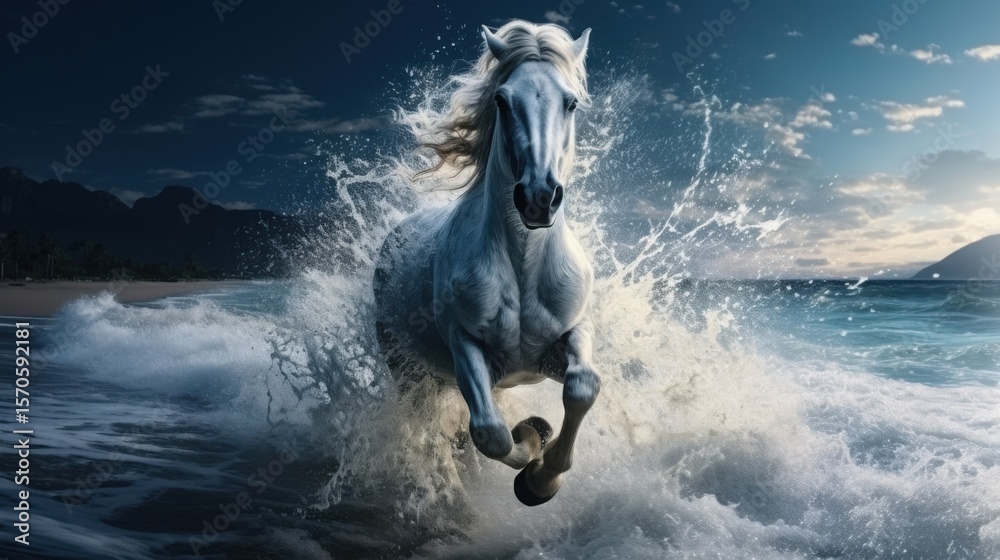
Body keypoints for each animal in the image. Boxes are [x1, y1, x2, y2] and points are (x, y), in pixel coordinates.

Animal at [374, 20, 600, 506]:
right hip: (411, 372)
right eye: (501, 99)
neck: (523, 266)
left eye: (571, 101)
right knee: (437, 428)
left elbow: (582, 387)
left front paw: (544, 474)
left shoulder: (570, 335)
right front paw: (532, 449)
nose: (537, 198)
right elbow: (492, 434)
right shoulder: (465, 347)